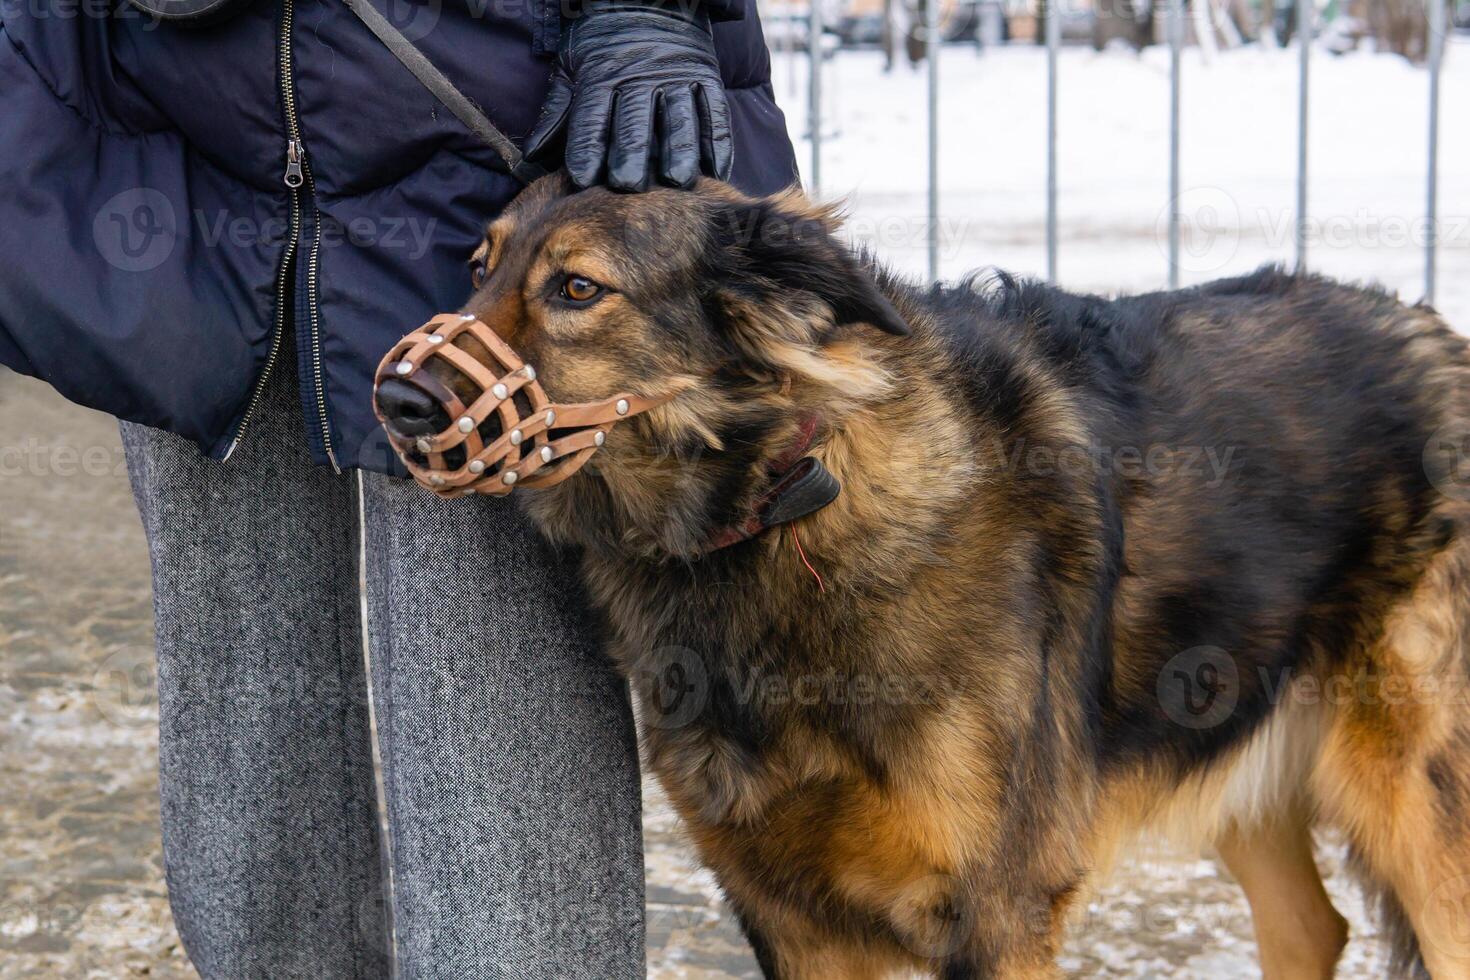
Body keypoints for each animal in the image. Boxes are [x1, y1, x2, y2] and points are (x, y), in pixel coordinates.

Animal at [373, 172, 1470, 975]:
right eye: (479, 266)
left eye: (577, 289)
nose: (395, 401)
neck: (777, 507)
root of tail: (1439, 332)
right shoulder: (789, 912)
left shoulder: (998, 910)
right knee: (1310, 926)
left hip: (1419, 805)